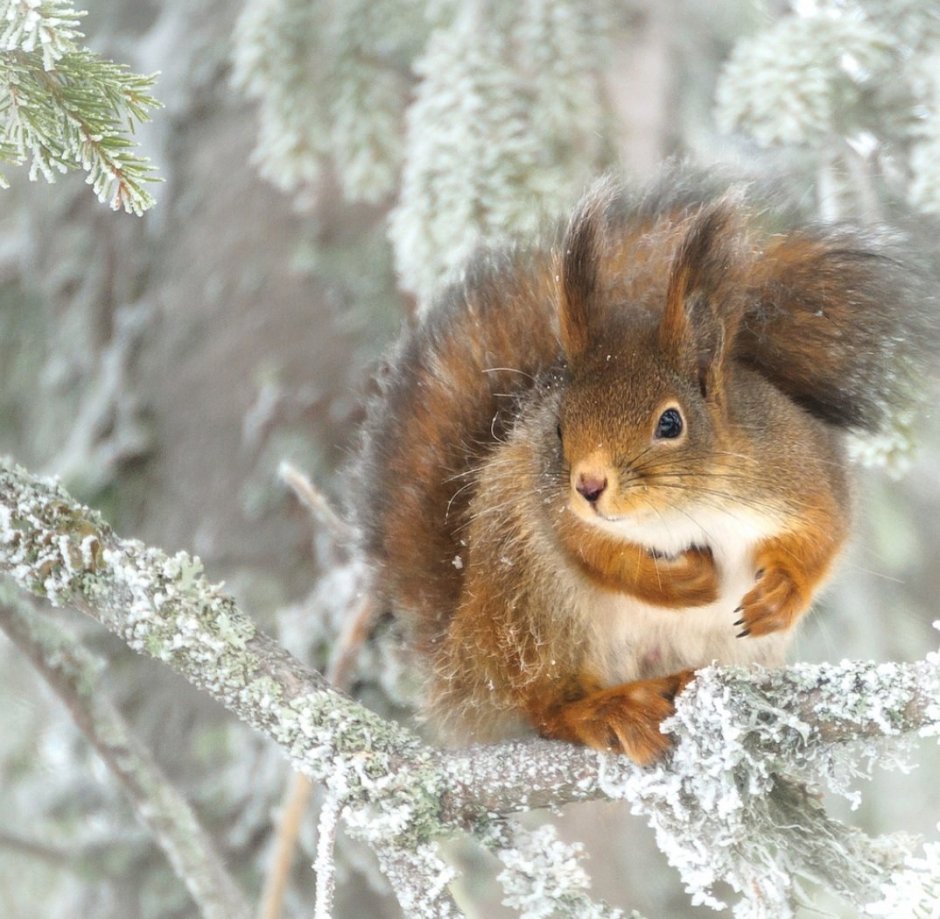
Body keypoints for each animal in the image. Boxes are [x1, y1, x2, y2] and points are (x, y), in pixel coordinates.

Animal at [352, 171, 932, 760]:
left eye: (670, 423)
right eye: (558, 427)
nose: (588, 485)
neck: (685, 508)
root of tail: (461, 659)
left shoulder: (801, 471)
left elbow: (821, 538)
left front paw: (780, 595)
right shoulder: (549, 508)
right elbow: (591, 551)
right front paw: (683, 582)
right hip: (530, 604)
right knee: (543, 704)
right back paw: (606, 710)